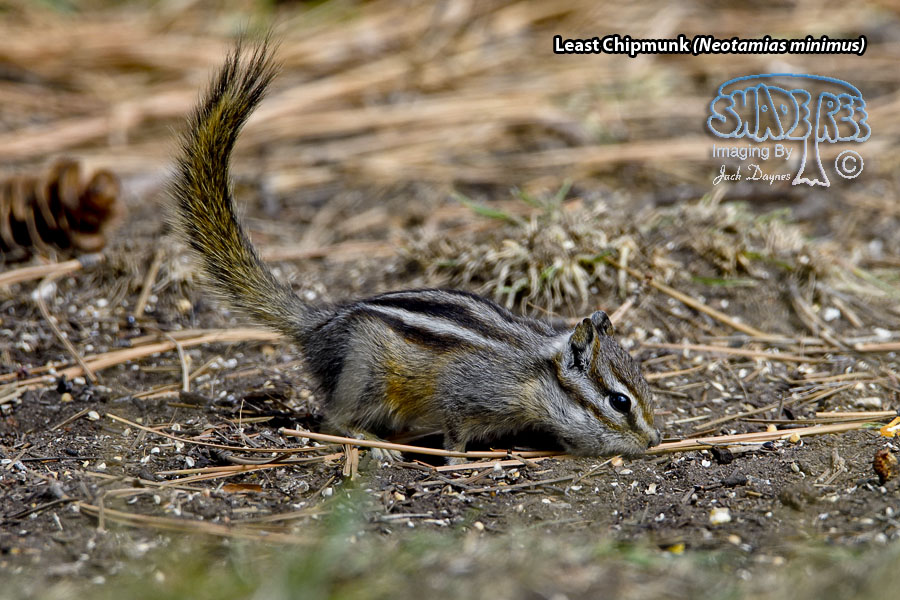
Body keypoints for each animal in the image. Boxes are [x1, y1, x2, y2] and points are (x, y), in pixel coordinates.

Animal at [170, 40, 661, 461]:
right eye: (620, 402)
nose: (655, 439)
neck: (534, 371)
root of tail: (318, 326)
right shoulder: (463, 395)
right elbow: (456, 432)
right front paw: (458, 460)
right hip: (367, 378)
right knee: (334, 418)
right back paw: (375, 442)